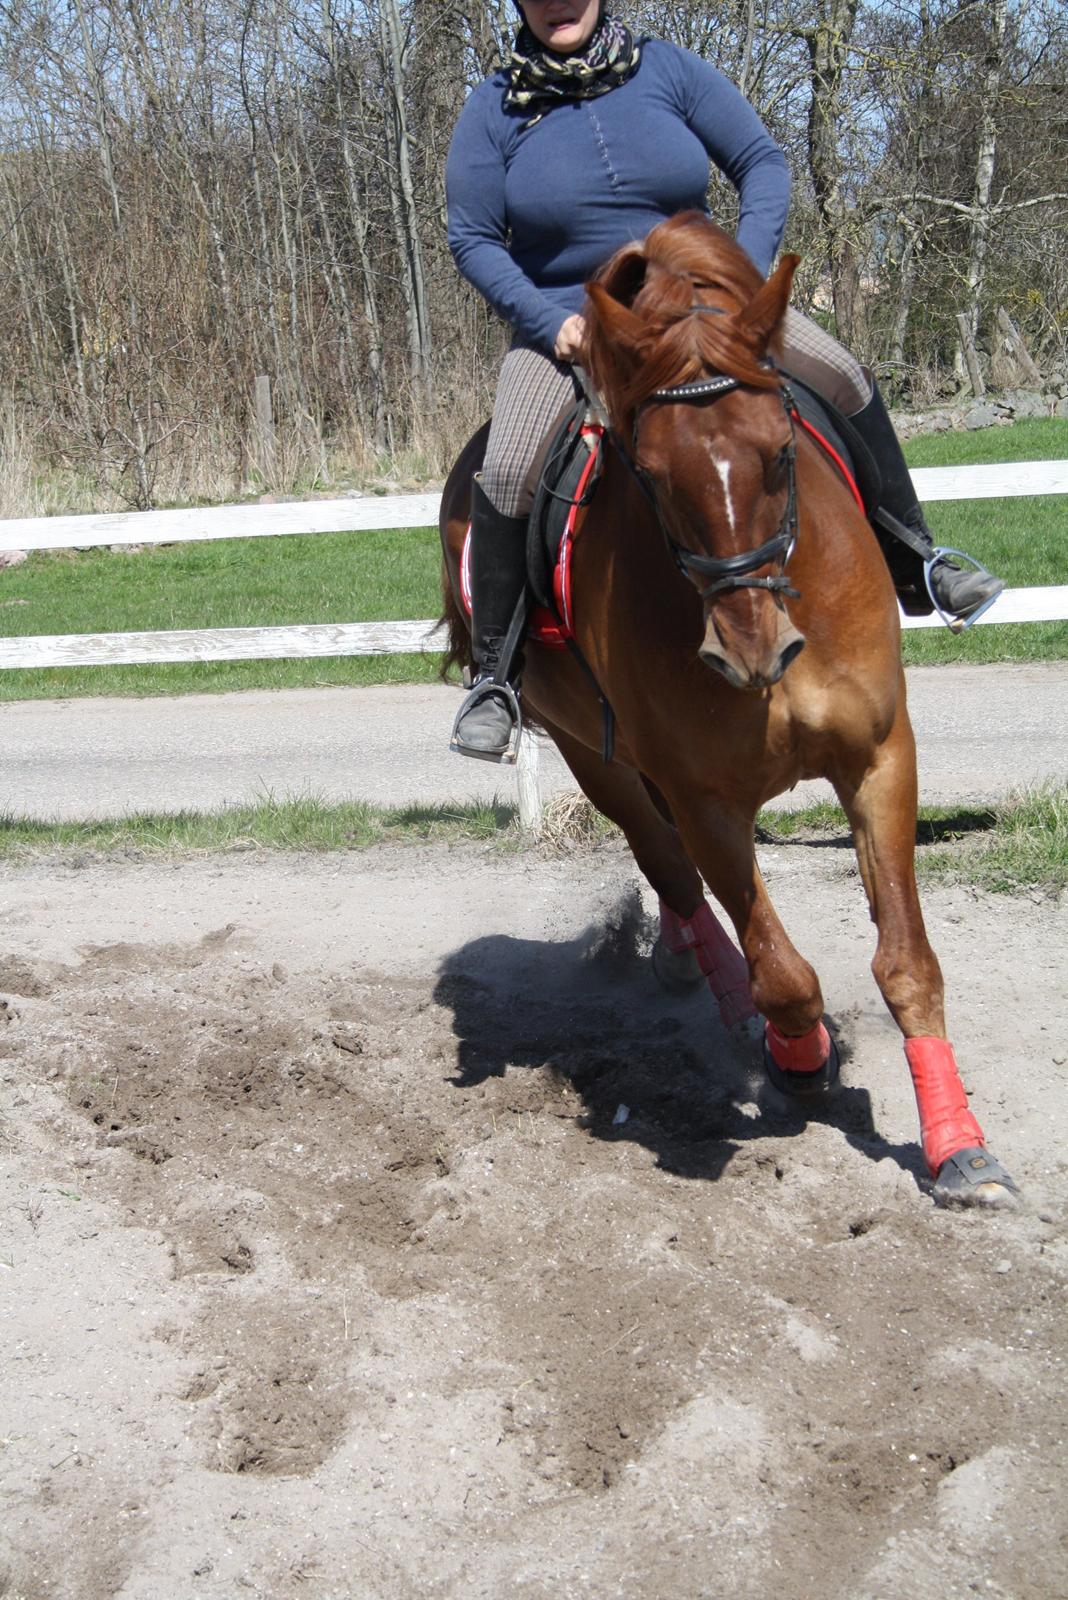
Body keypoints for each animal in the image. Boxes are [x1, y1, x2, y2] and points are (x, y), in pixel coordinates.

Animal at [441, 216, 1016, 1209]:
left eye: (782, 451)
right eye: (651, 475)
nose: (753, 652)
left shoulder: (878, 759)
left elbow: (908, 963)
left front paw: (959, 1149)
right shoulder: (703, 797)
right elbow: (781, 972)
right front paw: (800, 1059)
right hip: (594, 757)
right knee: (667, 867)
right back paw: (717, 986)